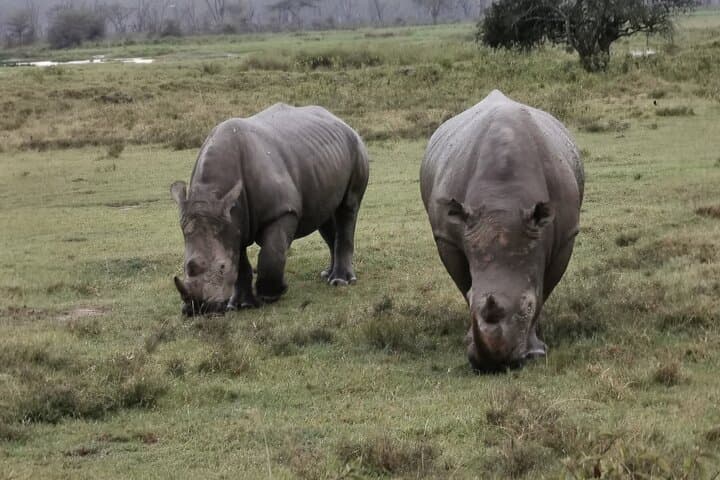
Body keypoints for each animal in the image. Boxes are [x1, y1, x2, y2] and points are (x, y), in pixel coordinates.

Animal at [171, 104, 369, 315]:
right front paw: (241, 305)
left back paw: (341, 282)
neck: (213, 190)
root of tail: (342, 122)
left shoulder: (282, 210)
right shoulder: (232, 222)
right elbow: (239, 263)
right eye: (185, 267)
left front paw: (271, 295)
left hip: (356, 148)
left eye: (222, 267)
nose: (199, 309)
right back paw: (327, 275)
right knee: (324, 216)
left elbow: (271, 253)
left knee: (348, 207)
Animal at [420, 90, 584, 371]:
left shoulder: (565, 236)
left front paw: (536, 351)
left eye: (526, 307)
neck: (503, 198)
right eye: (472, 296)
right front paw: (469, 338)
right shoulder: (447, 236)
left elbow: (543, 290)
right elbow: (463, 284)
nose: (492, 366)